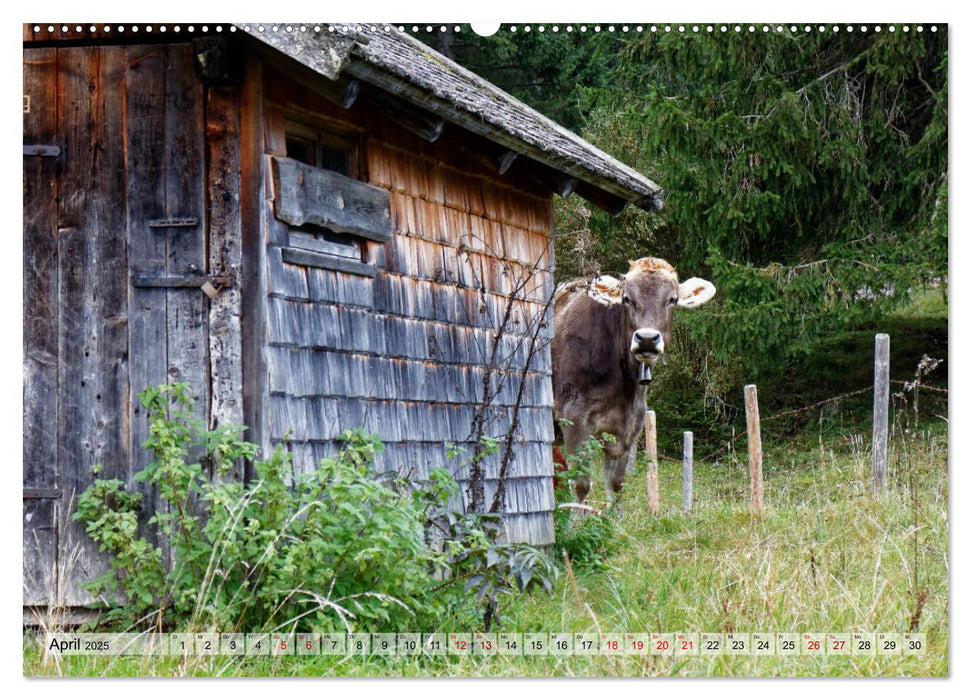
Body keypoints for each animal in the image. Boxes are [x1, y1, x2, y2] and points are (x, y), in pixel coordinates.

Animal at [556, 258, 712, 508]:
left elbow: (617, 484)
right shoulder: (574, 417)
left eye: (672, 299)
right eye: (626, 298)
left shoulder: (630, 424)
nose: (647, 338)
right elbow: (580, 484)